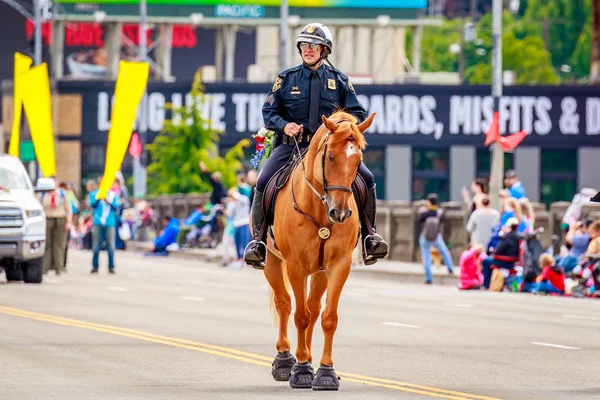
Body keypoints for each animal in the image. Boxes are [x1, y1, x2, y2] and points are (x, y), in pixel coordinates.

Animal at [264, 110, 372, 390]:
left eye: (358, 160)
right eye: (330, 156)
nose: (340, 213)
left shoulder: (339, 265)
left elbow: (327, 317)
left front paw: (325, 371)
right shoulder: (295, 266)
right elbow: (299, 315)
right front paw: (300, 369)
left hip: (320, 271)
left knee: (313, 309)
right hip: (272, 262)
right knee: (284, 304)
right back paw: (285, 360)